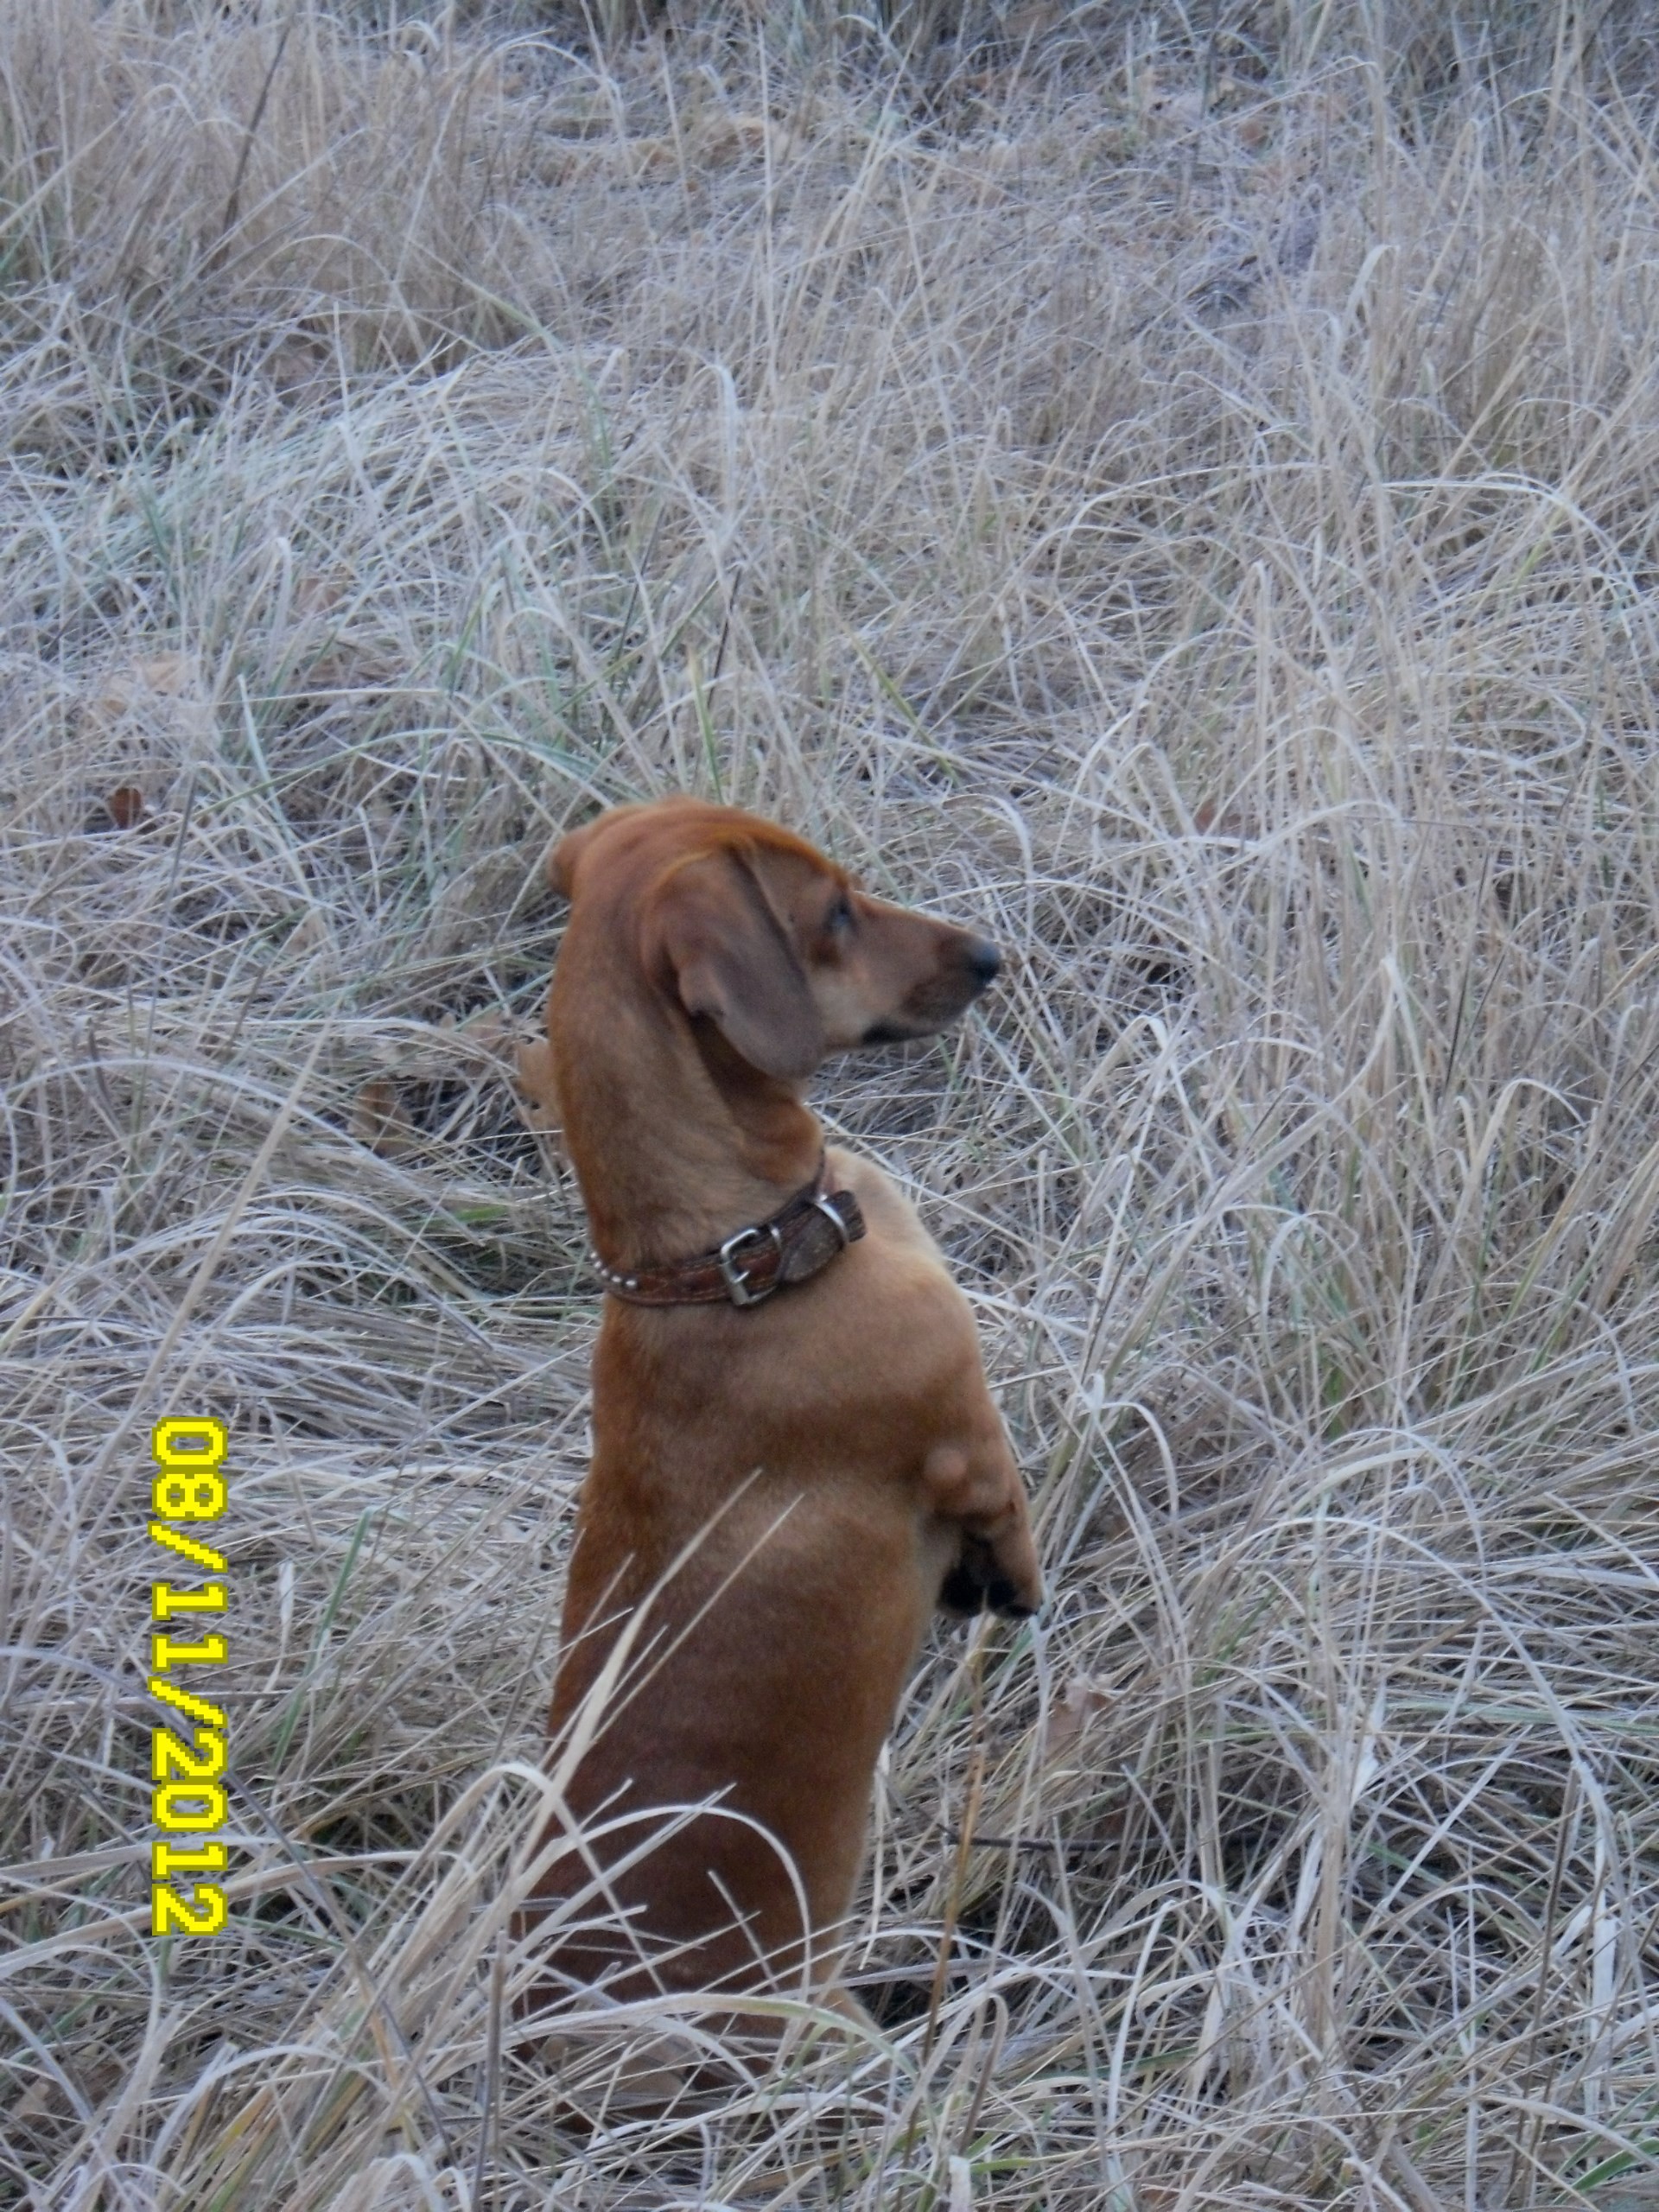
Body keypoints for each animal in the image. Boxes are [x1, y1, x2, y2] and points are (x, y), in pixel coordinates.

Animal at [522, 804, 1039, 2025]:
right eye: (836, 912)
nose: (989, 954)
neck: (726, 1266)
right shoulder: (967, 1434)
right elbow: (1007, 1507)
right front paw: (1011, 1582)